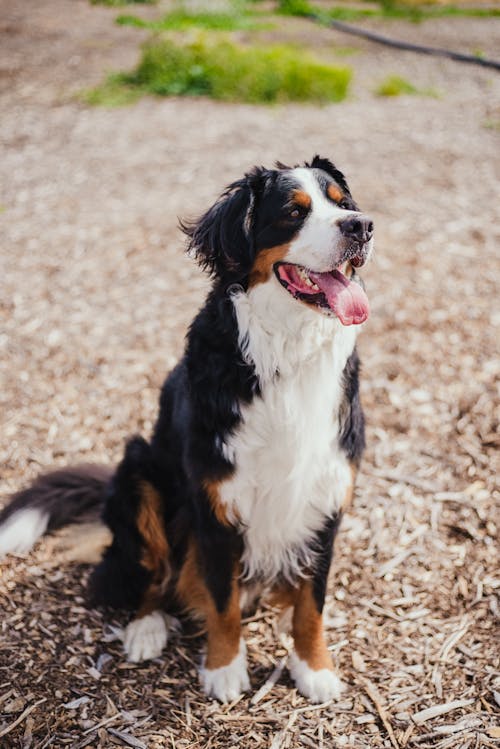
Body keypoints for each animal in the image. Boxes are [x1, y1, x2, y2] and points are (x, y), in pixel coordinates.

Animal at [0, 155, 374, 704]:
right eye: (293, 211)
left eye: (342, 203)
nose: (362, 226)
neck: (286, 354)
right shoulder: (217, 504)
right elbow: (221, 599)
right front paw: (223, 669)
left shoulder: (326, 493)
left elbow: (313, 602)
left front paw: (314, 668)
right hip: (140, 475)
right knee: (147, 575)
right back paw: (146, 629)